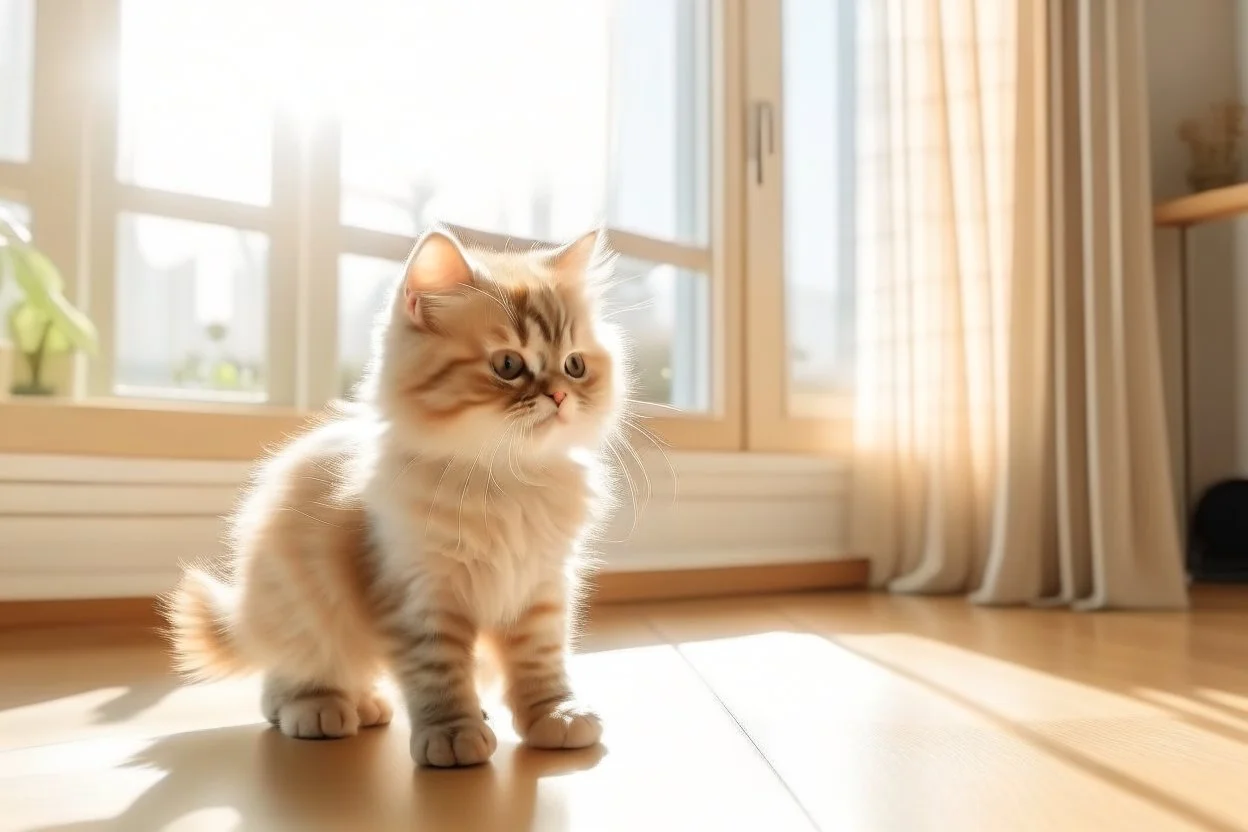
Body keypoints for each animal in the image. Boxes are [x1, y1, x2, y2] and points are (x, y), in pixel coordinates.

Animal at [165, 225, 628, 768]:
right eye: (509, 365)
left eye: (574, 366)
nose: (559, 396)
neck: (507, 483)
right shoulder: (417, 591)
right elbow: (438, 672)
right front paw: (452, 734)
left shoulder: (541, 587)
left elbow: (541, 663)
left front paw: (555, 715)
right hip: (301, 600)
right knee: (288, 677)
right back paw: (317, 708)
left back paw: (368, 704)